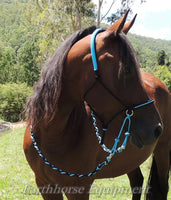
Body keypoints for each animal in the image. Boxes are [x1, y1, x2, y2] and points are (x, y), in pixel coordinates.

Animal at [23, 11, 162, 200]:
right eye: (126, 70)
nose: (157, 128)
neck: (51, 134)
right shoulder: (45, 185)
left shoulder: (78, 189)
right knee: (137, 182)